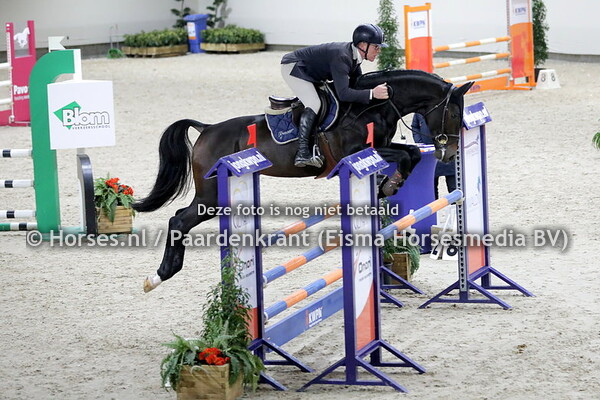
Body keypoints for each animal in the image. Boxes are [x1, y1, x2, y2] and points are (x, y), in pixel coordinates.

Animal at [134, 69, 474, 292]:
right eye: (454, 115)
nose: (449, 153)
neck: (374, 105)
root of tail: (206, 129)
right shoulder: (355, 152)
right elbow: (405, 156)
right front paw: (388, 185)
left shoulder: (379, 147)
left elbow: (412, 153)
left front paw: (387, 186)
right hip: (211, 196)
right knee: (179, 219)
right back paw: (160, 275)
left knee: (181, 218)